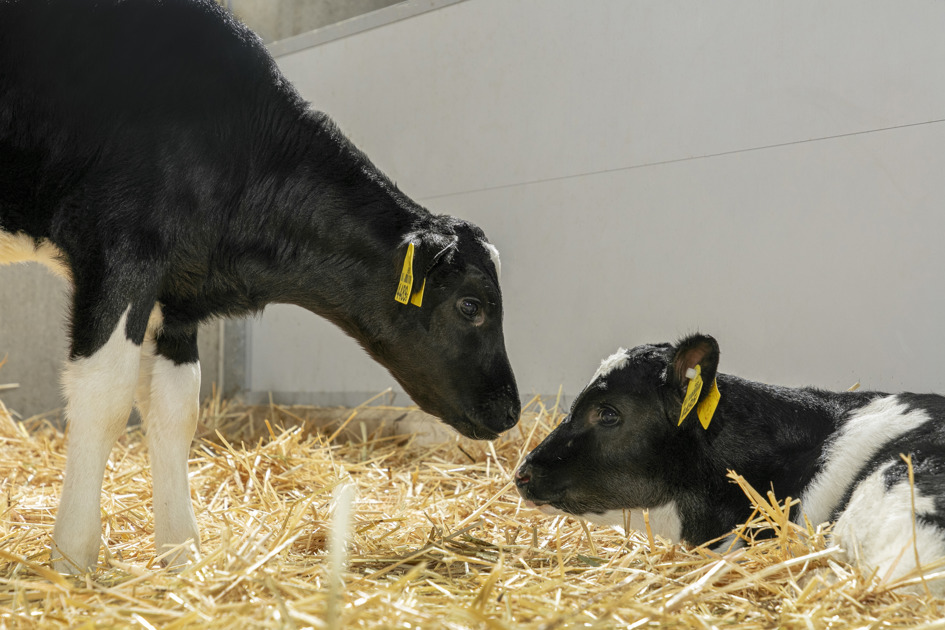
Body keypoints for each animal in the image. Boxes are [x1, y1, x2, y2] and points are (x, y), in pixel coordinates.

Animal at [0, 0, 520, 573]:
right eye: (470, 305)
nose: (513, 410)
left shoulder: (176, 297)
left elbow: (176, 412)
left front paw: (183, 555)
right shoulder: (119, 249)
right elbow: (105, 398)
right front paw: (73, 558)